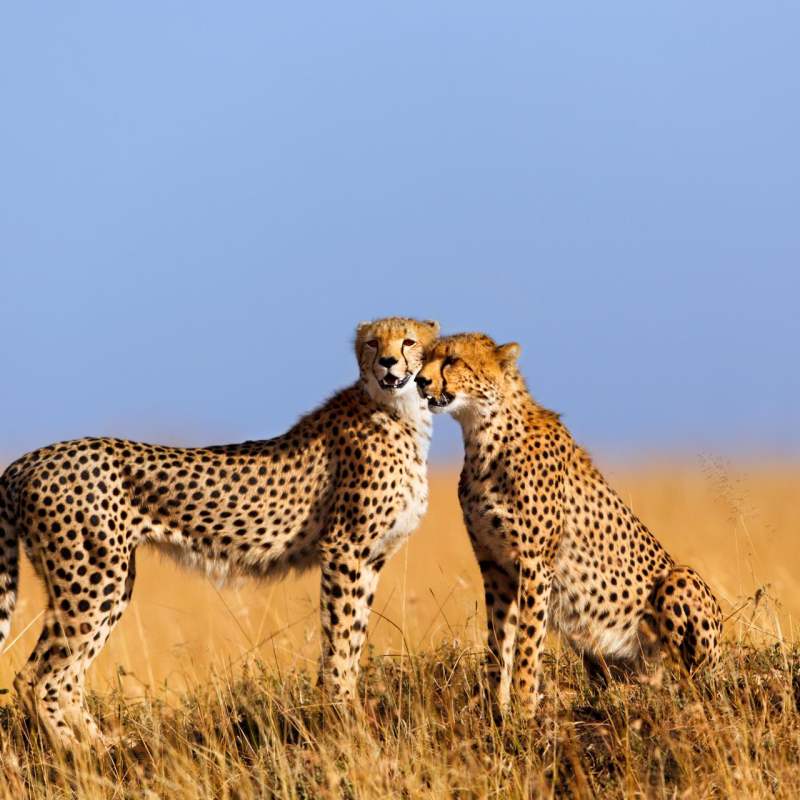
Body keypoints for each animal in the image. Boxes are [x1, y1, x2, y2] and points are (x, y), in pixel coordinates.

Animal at [0, 316, 439, 746]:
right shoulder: (345, 550)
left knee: (67, 676)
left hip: (109, 582)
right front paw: (346, 718)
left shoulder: (370, 559)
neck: (400, 412)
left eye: (409, 341)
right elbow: (341, 642)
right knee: (37, 677)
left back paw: (104, 747)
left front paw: (346, 713)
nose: (387, 362)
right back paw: (77, 753)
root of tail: (28, 460)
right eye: (372, 343)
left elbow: (354, 637)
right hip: (91, 579)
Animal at [415, 332, 722, 718]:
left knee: (686, 681)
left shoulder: (534, 565)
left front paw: (523, 709)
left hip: (680, 582)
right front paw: (496, 709)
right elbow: (499, 643)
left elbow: (528, 644)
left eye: (452, 360)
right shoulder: (494, 566)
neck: (484, 435)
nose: (419, 381)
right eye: (425, 357)